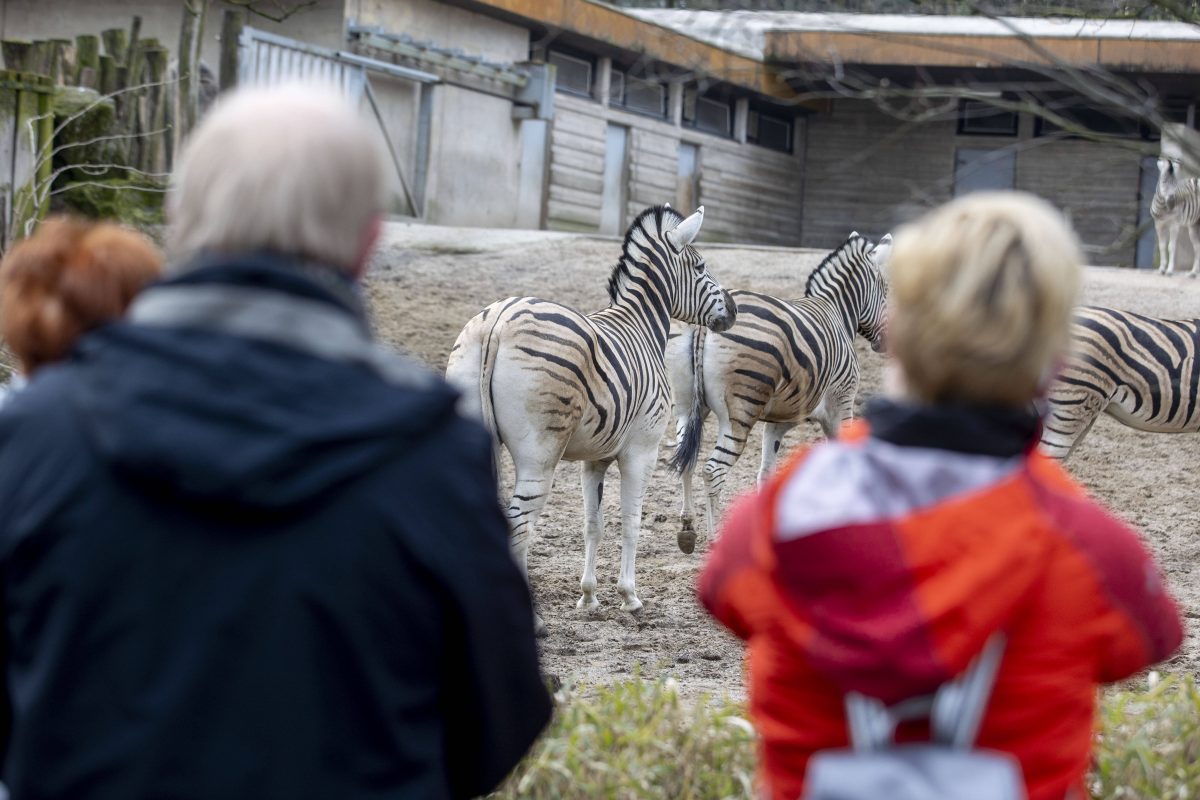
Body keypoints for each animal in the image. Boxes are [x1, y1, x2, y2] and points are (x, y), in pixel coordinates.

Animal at [445, 205, 736, 633]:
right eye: (700, 266)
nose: (732, 311)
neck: (643, 326)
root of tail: (499, 320)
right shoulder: (641, 451)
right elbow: (632, 521)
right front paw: (629, 597)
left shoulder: (594, 458)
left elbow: (593, 525)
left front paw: (588, 596)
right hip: (539, 455)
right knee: (519, 525)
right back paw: (530, 621)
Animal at [667, 232, 890, 551]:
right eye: (886, 290)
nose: (886, 342)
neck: (837, 311)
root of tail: (706, 326)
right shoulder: (841, 404)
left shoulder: (777, 422)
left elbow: (766, 475)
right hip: (739, 413)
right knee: (713, 470)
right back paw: (715, 540)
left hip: (687, 407)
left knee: (686, 459)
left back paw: (687, 529)